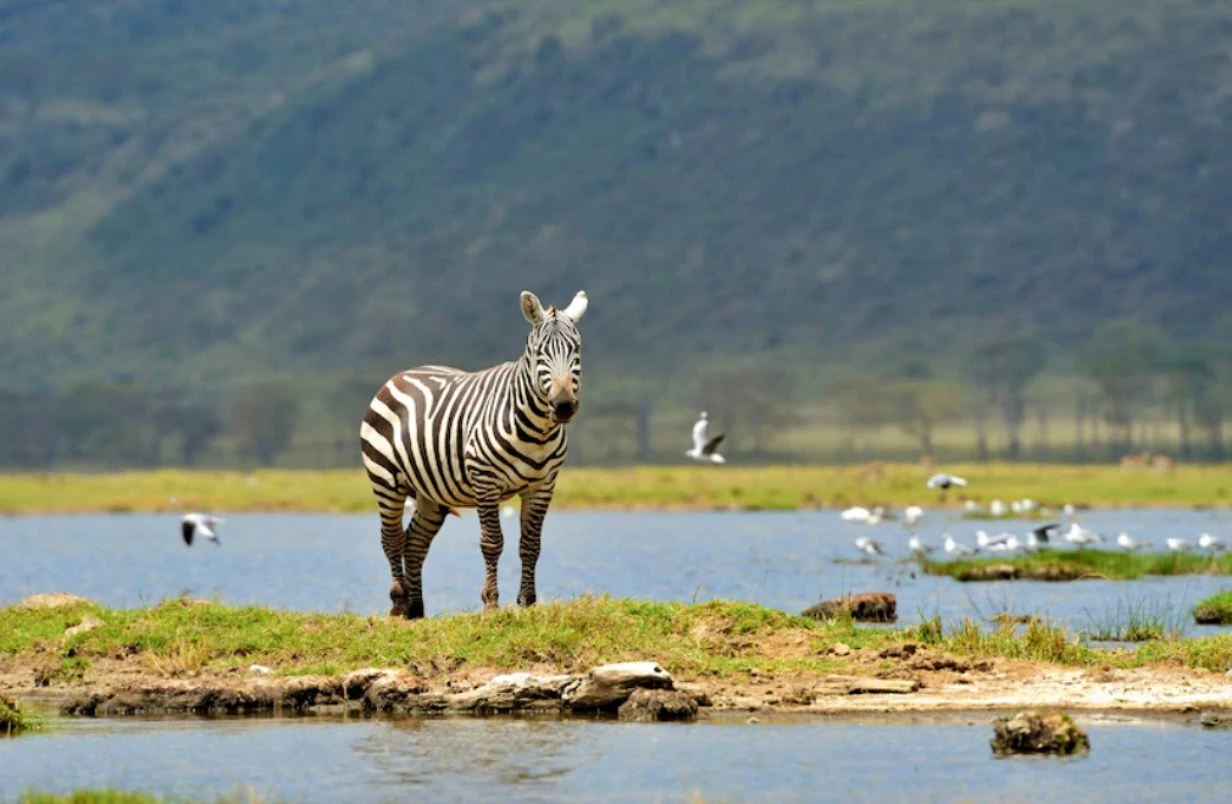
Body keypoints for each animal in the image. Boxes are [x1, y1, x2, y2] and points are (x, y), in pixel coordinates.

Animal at [359, 291, 588, 618]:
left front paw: (528, 603)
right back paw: (400, 603)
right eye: (538, 353)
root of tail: (401, 374)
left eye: (576, 349)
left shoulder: (543, 485)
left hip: (431, 493)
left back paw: (416, 610)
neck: (537, 431)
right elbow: (492, 542)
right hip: (386, 479)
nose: (564, 405)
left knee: (414, 543)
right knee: (392, 538)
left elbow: (531, 545)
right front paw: (491, 603)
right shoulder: (485, 479)